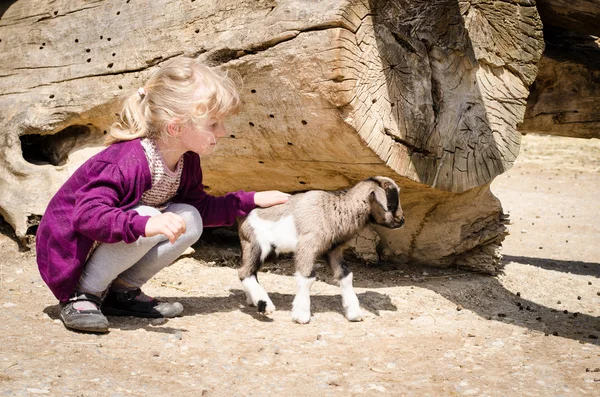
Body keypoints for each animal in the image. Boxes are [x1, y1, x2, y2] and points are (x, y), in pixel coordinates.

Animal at [237, 176, 406, 322]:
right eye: (390, 204)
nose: (402, 220)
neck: (333, 210)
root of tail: (242, 219)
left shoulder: (332, 250)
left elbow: (346, 274)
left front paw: (354, 313)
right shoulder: (307, 246)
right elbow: (308, 276)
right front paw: (301, 315)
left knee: (250, 270)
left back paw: (252, 300)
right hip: (257, 245)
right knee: (244, 272)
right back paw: (265, 305)